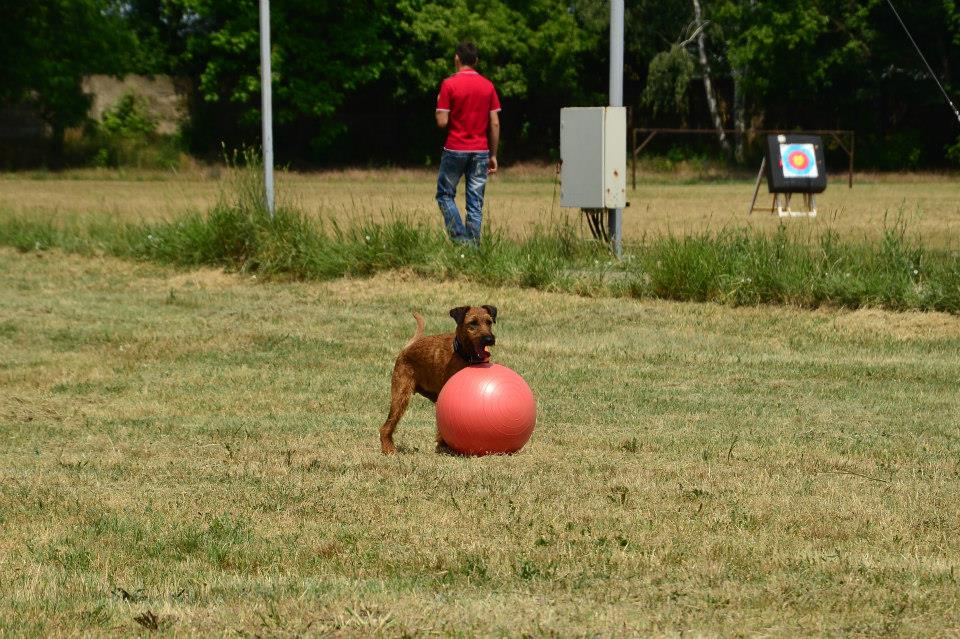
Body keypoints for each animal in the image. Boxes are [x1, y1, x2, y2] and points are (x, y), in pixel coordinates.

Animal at [376, 306, 496, 452]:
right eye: (473, 323)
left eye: (489, 322)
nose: (489, 339)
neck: (463, 354)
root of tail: (407, 348)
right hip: (400, 397)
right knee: (386, 426)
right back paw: (389, 449)